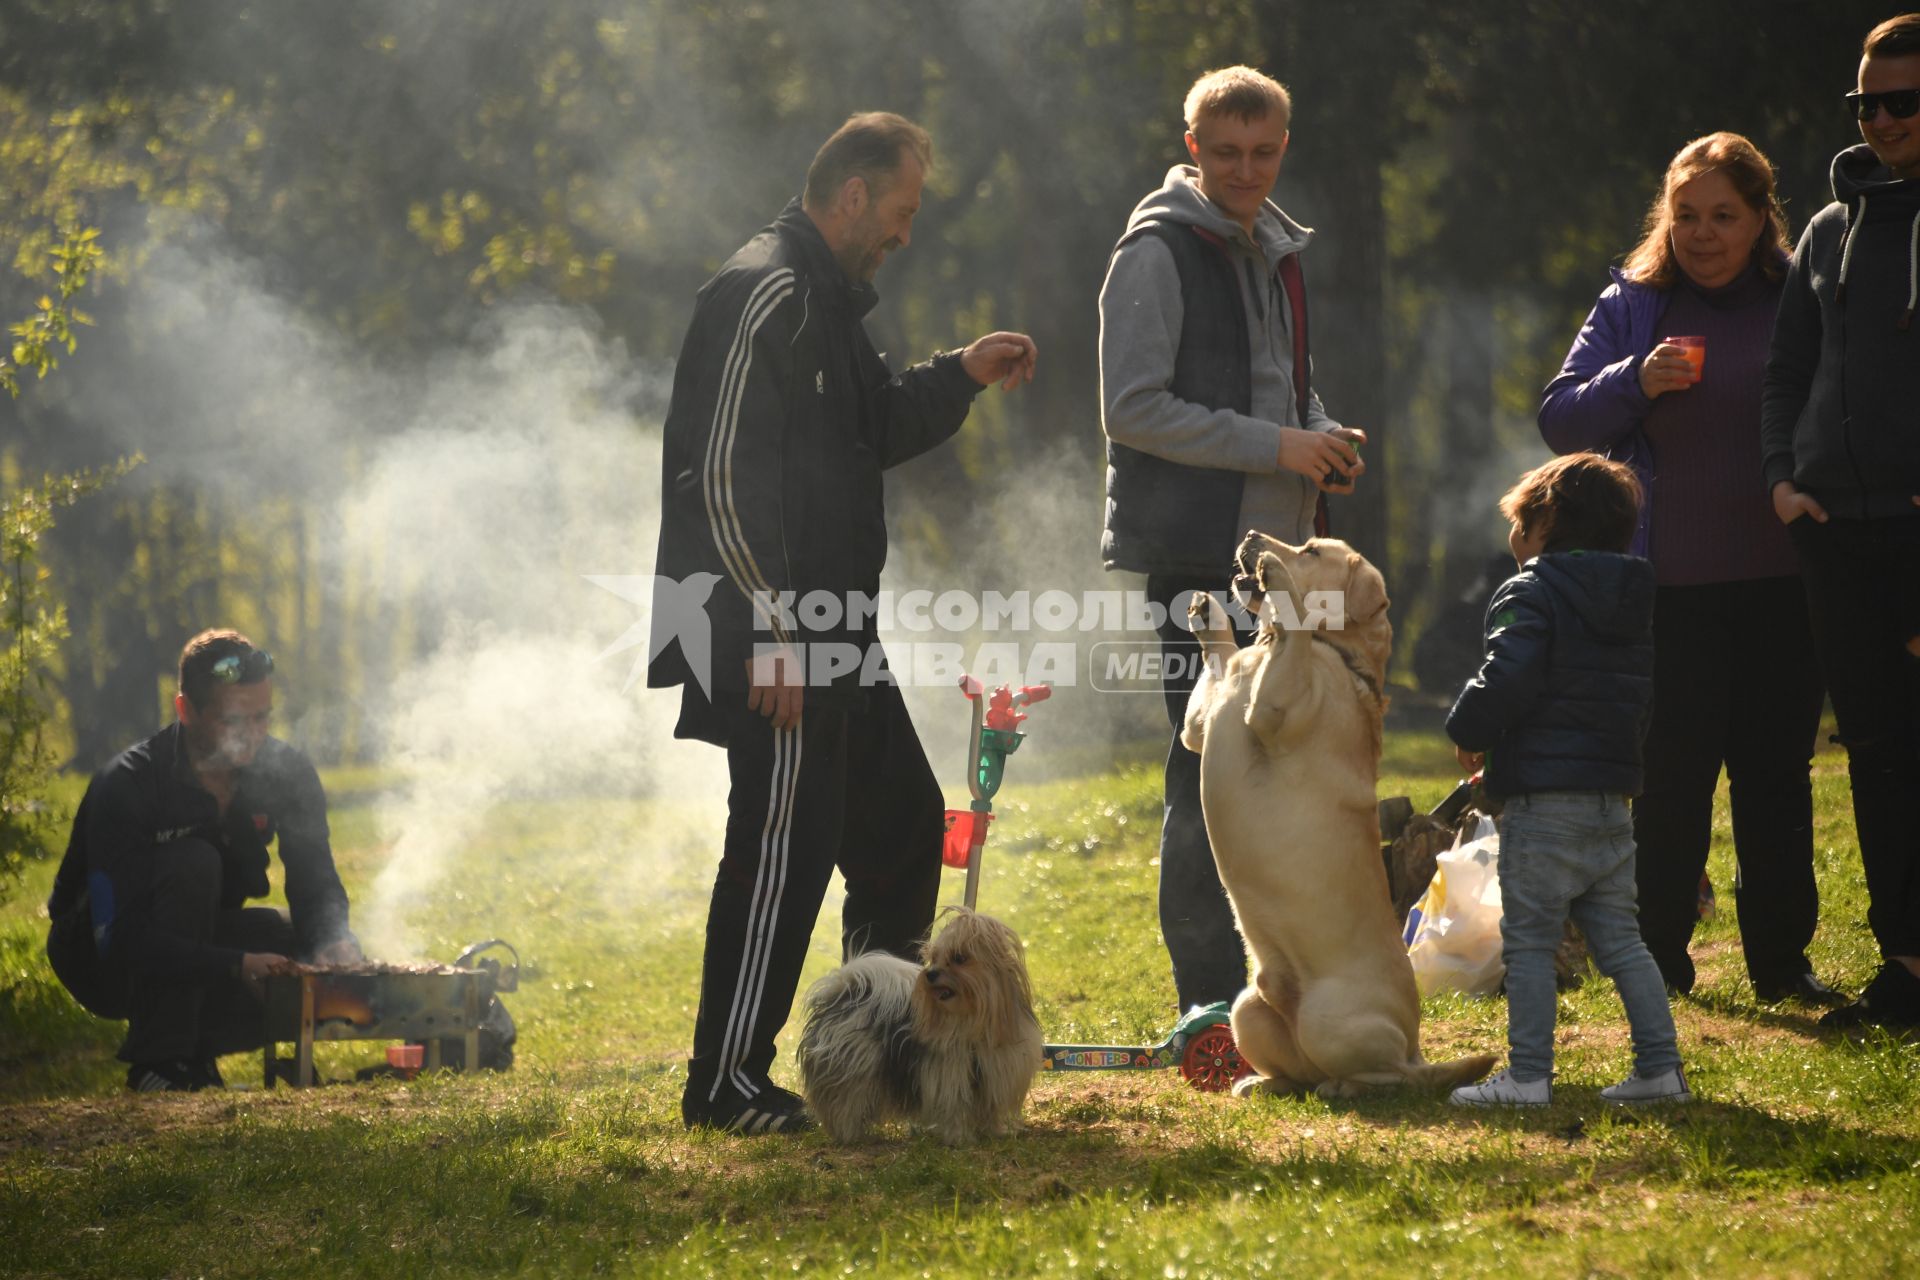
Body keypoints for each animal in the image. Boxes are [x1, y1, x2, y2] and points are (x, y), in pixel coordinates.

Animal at [794, 905, 1044, 1143]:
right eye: (934, 958)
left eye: (959, 958)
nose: (930, 974)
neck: (971, 1021)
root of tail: (844, 992)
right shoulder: (948, 1079)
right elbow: (955, 1110)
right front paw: (960, 1138)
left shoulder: (996, 1073)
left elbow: (990, 1110)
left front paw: (995, 1132)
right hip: (852, 1070)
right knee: (844, 1105)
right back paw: (853, 1136)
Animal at [1182, 529, 1497, 1105]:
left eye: (1309, 550)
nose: (1251, 535)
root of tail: (1415, 1047)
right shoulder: (1201, 725)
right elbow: (1221, 659)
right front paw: (1207, 613)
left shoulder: (1272, 712)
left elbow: (1292, 630)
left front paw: (1276, 579)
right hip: (1246, 1010)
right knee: (1298, 1073)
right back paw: (1261, 1082)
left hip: (1333, 1022)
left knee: (1390, 1076)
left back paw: (1344, 1087)